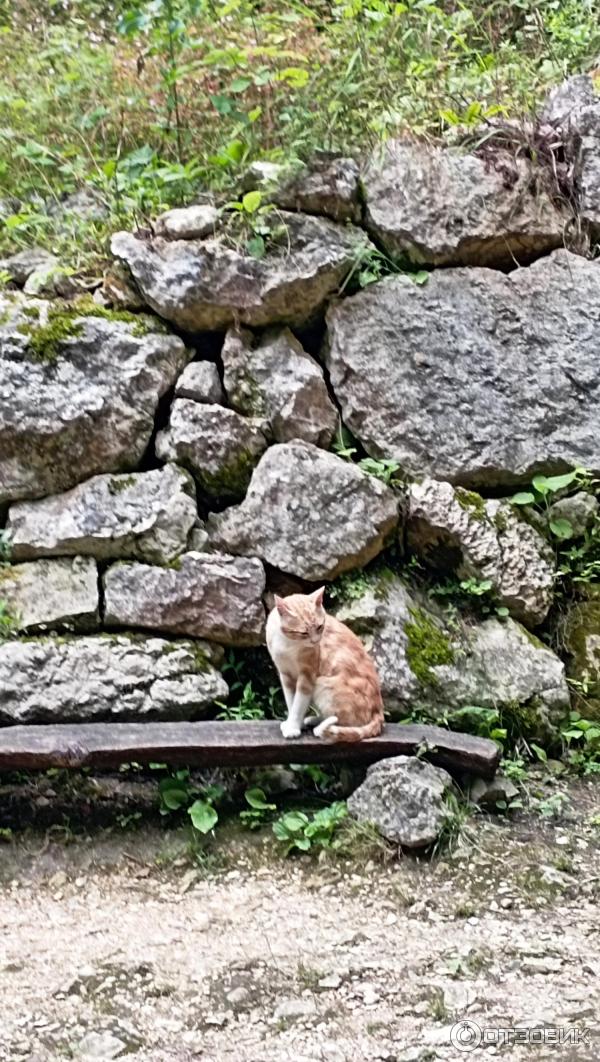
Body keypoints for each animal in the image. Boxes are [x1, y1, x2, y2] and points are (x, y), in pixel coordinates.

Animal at [266, 586, 384, 743]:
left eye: (320, 627)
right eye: (303, 633)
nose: (316, 641)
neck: (288, 643)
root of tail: (379, 713)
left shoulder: (307, 677)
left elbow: (298, 705)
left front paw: (293, 727)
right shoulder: (286, 675)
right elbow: (291, 703)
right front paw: (293, 724)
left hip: (322, 684)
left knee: (344, 721)